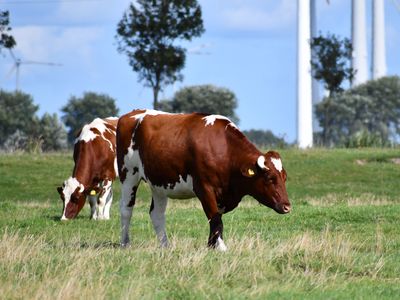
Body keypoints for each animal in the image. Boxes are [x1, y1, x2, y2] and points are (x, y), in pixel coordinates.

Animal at [115, 109, 290, 250]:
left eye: (284, 177)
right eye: (270, 178)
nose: (287, 206)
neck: (225, 151)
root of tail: (130, 114)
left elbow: (216, 220)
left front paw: (211, 245)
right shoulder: (204, 188)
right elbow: (216, 219)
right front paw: (221, 247)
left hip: (158, 184)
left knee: (157, 214)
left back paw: (165, 245)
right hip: (129, 175)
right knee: (126, 209)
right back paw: (125, 243)